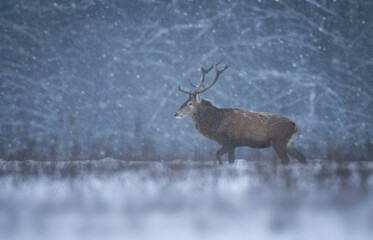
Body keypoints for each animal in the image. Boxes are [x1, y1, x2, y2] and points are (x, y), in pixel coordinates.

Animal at [174, 60, 306, 165]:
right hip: (289, 143)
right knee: (302, 157)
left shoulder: (230, 142)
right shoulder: (231, 145)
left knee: (286, 161)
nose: (176, 113)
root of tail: (295, 124)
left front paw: (222, 165)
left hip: (278, 141)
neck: (216, 124)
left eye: (190, 103)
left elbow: (219, 156)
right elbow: (228, 159)